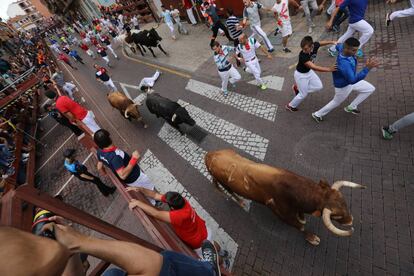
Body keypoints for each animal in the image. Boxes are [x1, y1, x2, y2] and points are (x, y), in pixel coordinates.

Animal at [205, 149, 366, 246]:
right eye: (336, 216)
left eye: (345, 203)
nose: (351, 221)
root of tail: (209, 155)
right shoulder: (281, 214)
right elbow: (300, 226)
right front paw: (312, 238)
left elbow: (301, 218)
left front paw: (302, 217)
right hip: (225, 185)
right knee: (231, 193)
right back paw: (241, 202)